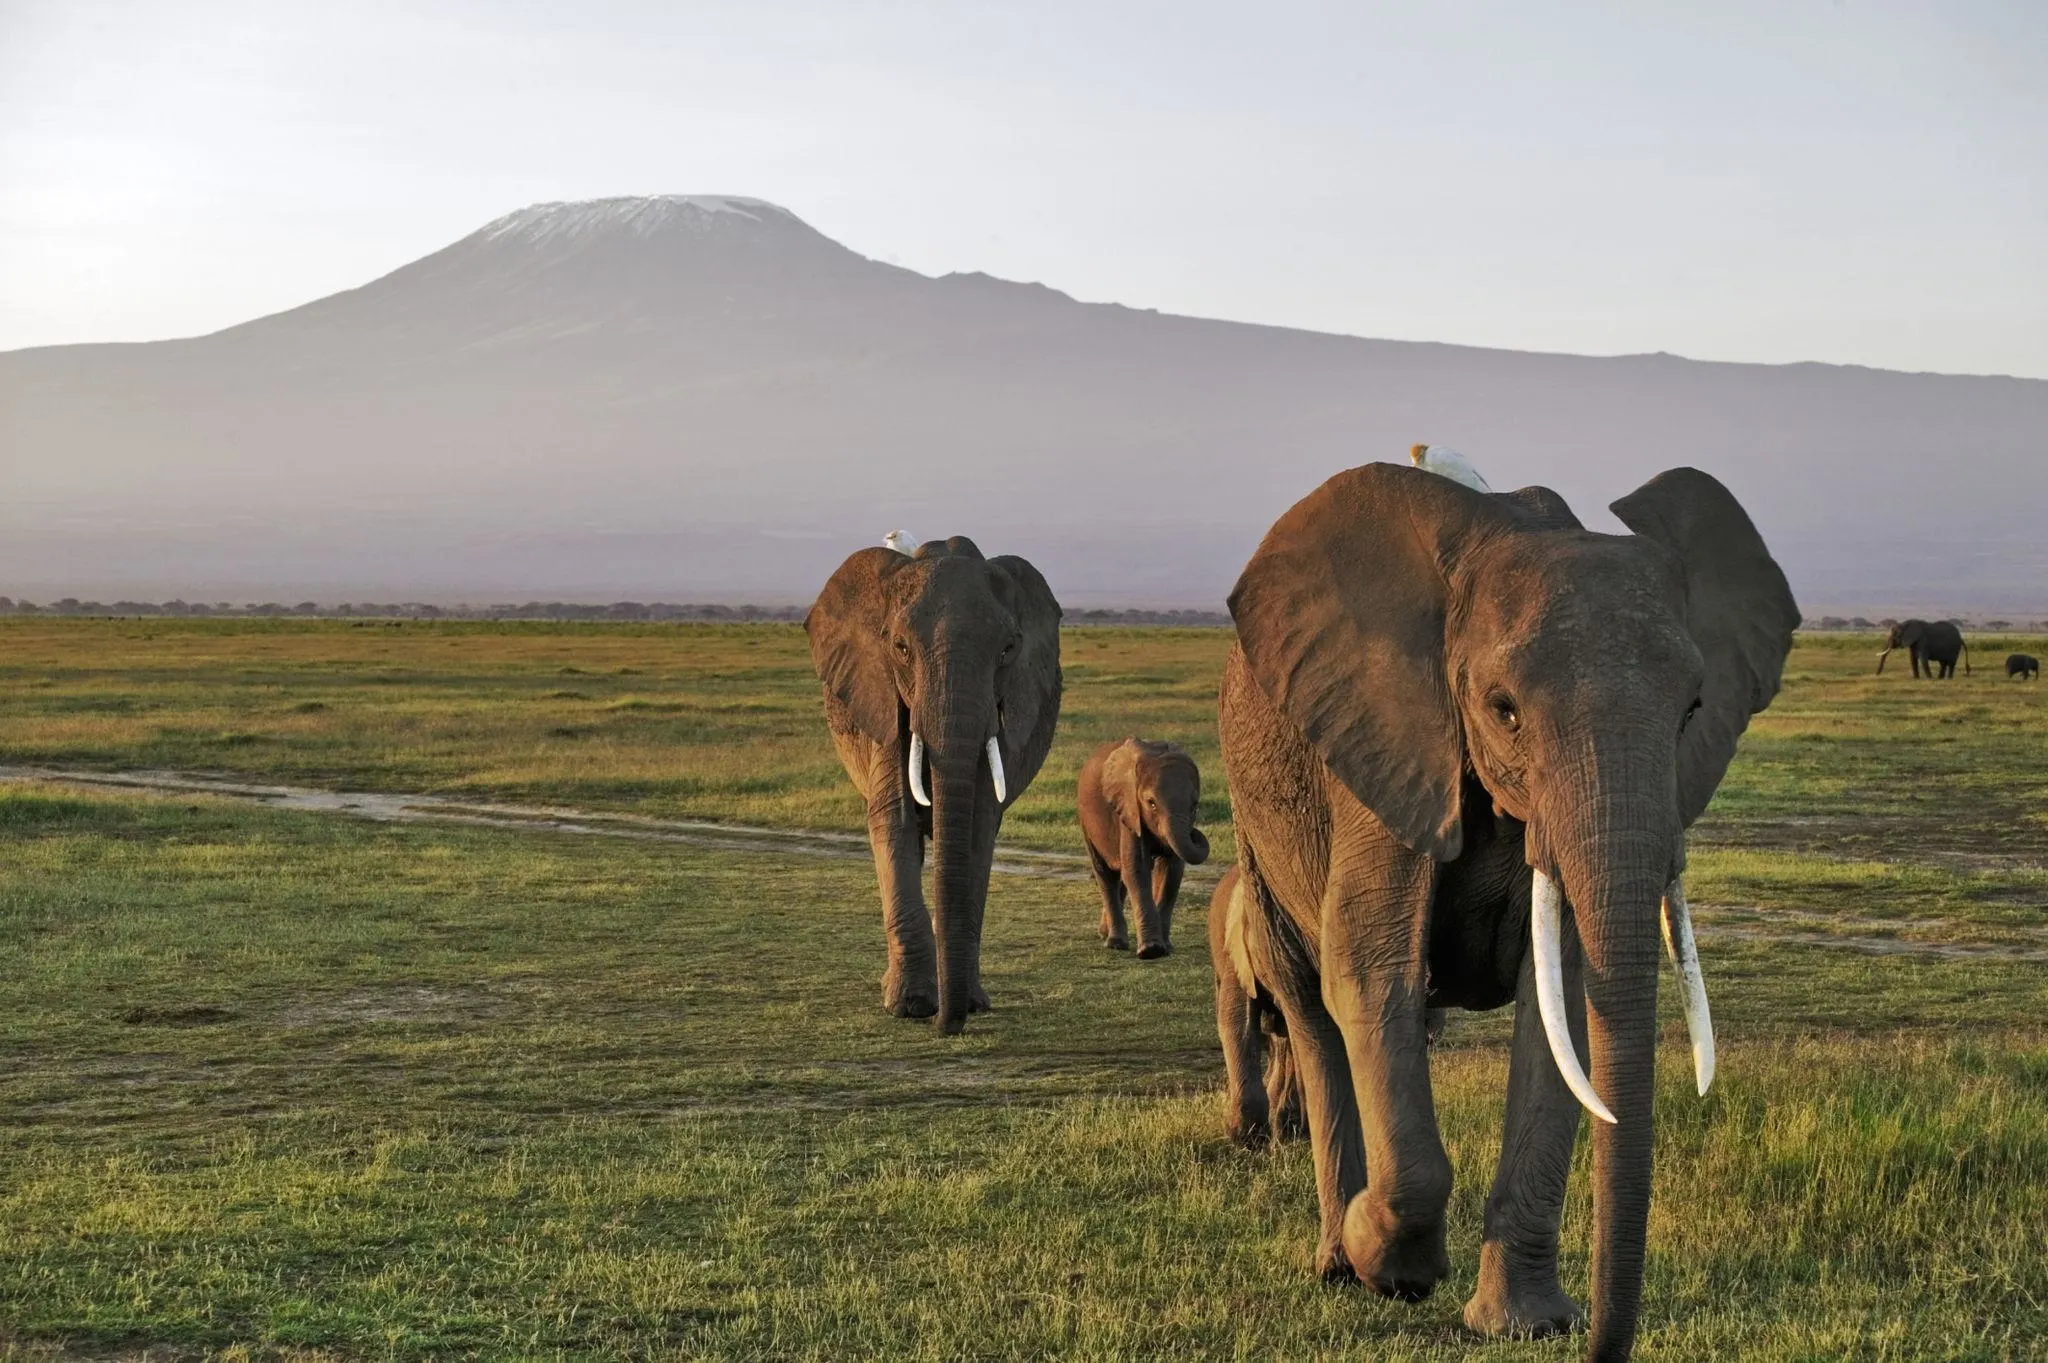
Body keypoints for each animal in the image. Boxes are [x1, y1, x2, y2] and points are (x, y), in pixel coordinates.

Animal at [806, 536, 1062, 1034]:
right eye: (900, 647)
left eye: (1007, 649)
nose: (948, 1024)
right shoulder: (883, 699)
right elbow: (894, 821)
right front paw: (910, 1007)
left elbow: (978, 828)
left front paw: (970, 1004)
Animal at [1076, 737, 1210, 957]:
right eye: (1151, 803)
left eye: (1194, 806)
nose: (1195, 833)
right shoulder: (1128, 809)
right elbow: (1137, 870)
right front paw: (1151, 951)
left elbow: (1171, 874)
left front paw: (1166, 948)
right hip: (1086, 821)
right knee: (1106, 874)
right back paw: (1115, 943)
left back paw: (1105, 934)